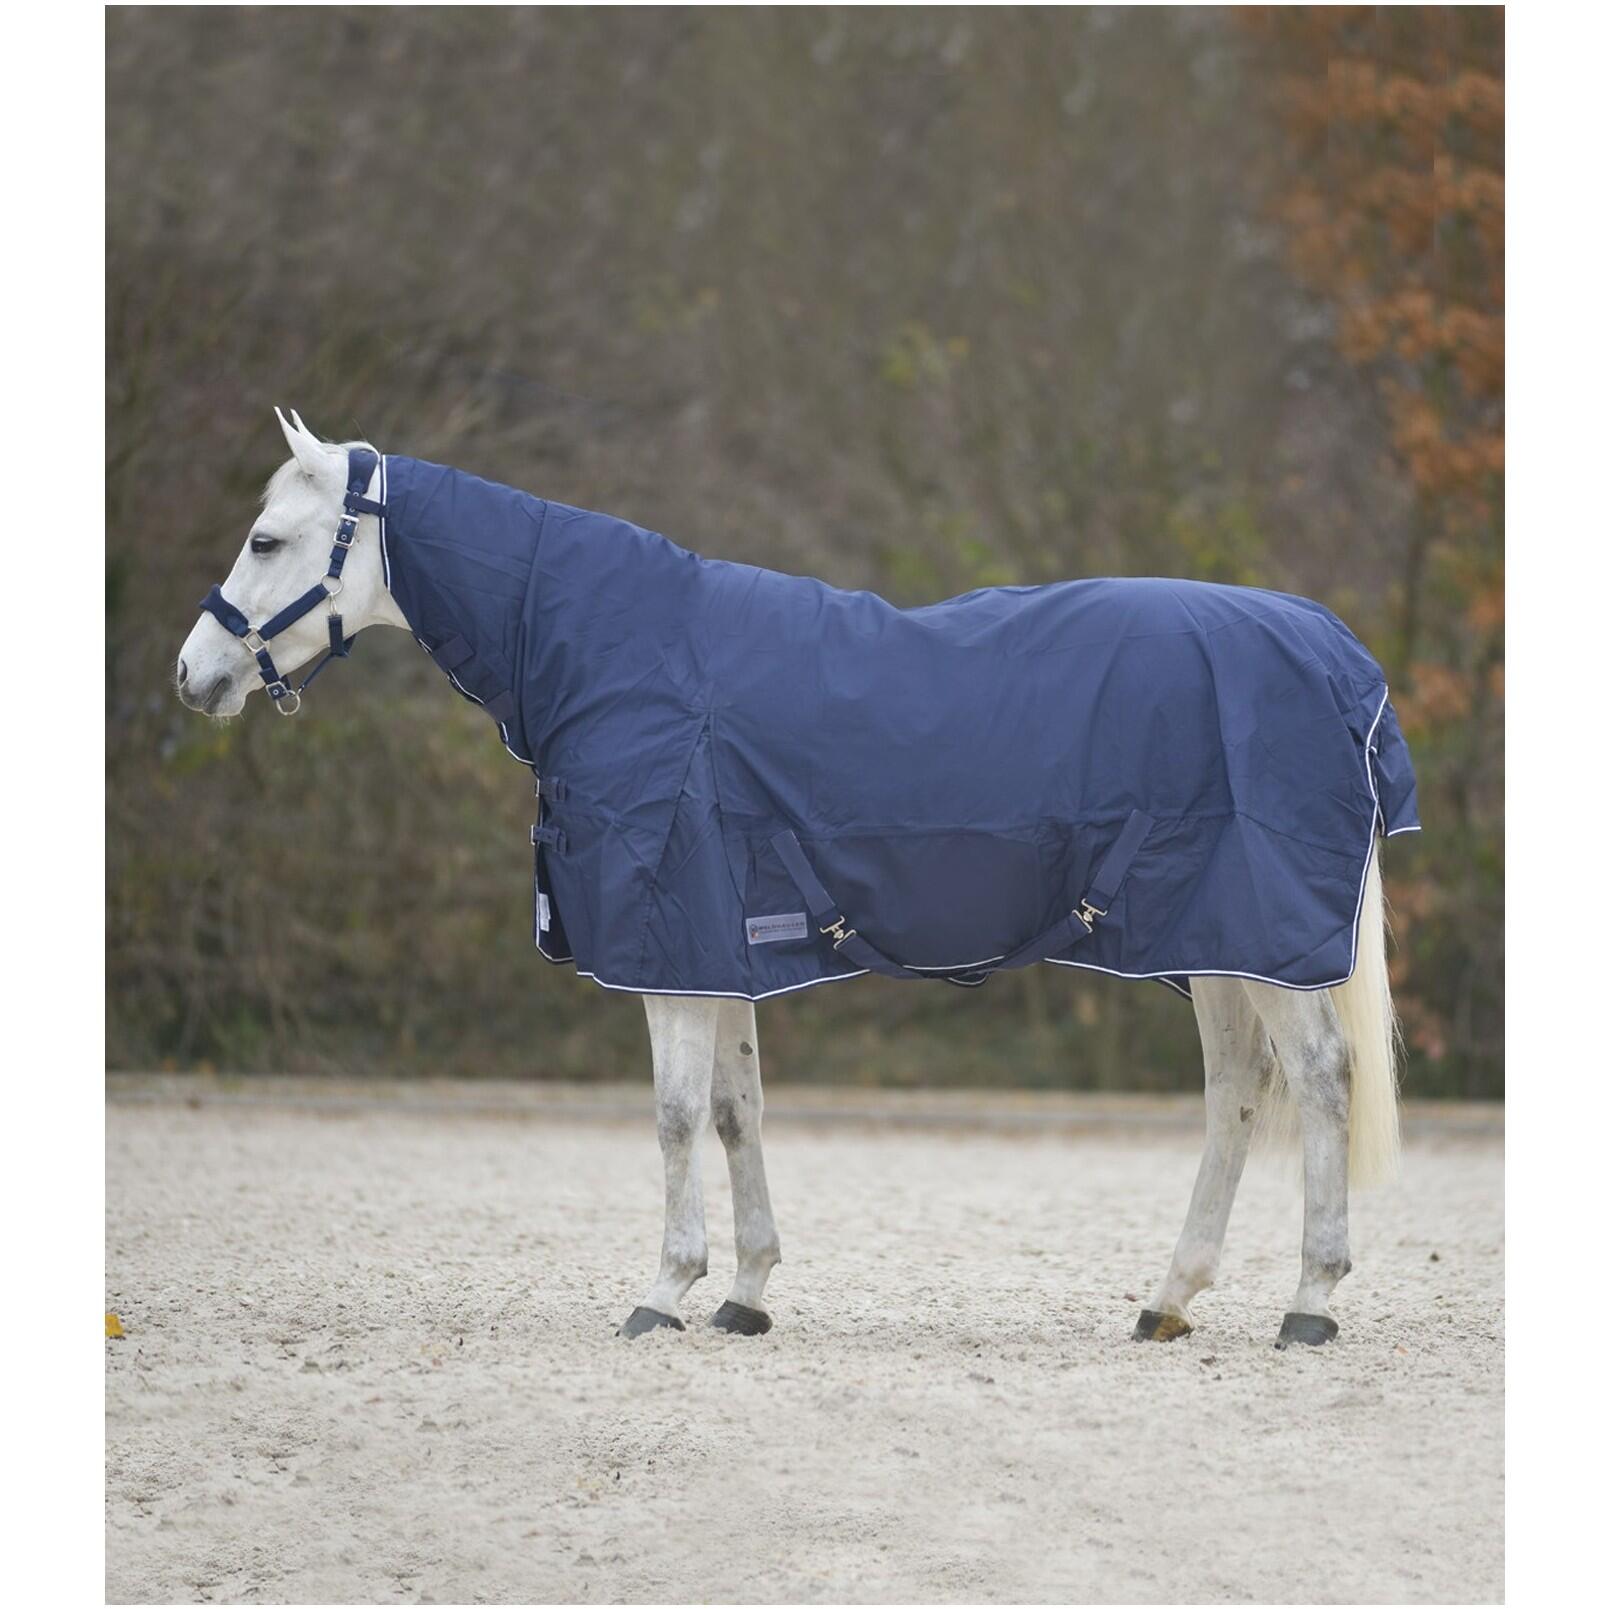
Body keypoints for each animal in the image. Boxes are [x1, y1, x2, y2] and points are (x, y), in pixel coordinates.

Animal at [176, 408, 1417, 1348]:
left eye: (270, 540)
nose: (194, 675)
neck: (625, 660)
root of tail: (1338, 656)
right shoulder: (722, 944)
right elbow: (736, 1110)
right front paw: (744, 1291)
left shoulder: (673, 945)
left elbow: (676, 1115)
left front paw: (663, 1290)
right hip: (1218, 943)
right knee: (1235, 1091)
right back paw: (1167, 1299)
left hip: (1261, 938)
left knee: (1317, 1081)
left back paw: (1309, 1302)